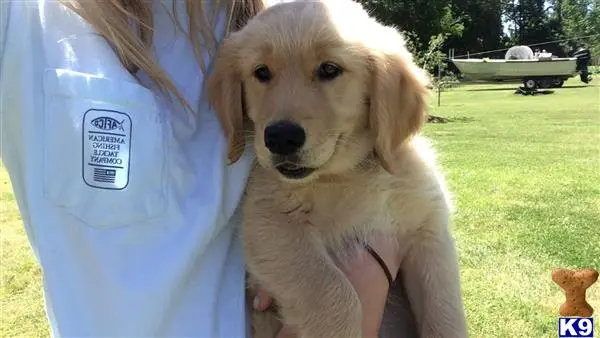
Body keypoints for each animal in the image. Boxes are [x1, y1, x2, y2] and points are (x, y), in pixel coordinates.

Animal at [207, 0, 468, 338]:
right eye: (261, 72)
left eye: (329, 70)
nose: (280, 137)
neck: (350, 173)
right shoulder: (269, 222)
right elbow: (334, 294)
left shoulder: (430, 231)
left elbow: (445, 314)